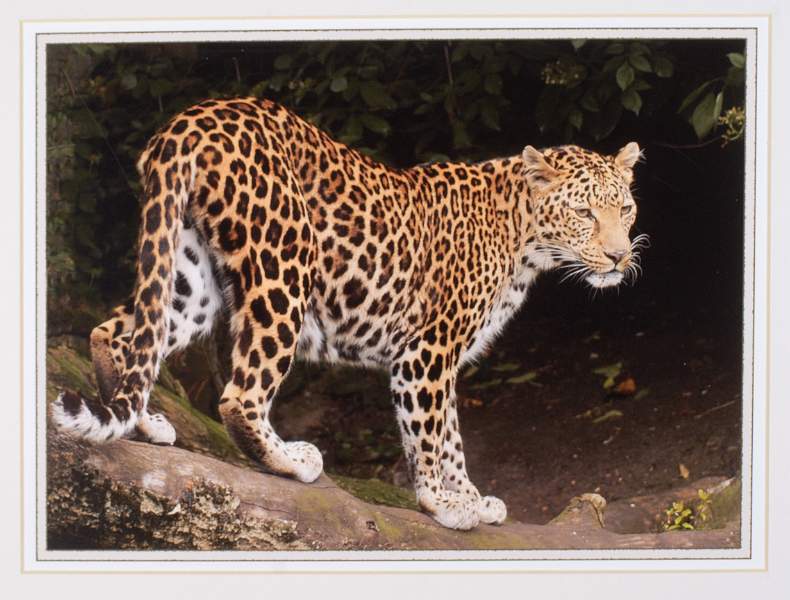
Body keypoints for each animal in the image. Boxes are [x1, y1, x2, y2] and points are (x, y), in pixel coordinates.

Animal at [51, 97, 646, 531]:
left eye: (626, 208)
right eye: (584, 212)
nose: (620, 257)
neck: (525, 240)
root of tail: (191, 119)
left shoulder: (441, 359)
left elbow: (452, 437)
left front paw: (473, 498)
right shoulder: (425, 353)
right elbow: (431, 434)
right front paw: (443, 503)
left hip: (189, 279)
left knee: (118, 332)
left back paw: (143, 421)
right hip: (282, 270)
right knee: (240, 397)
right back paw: (290, 459)